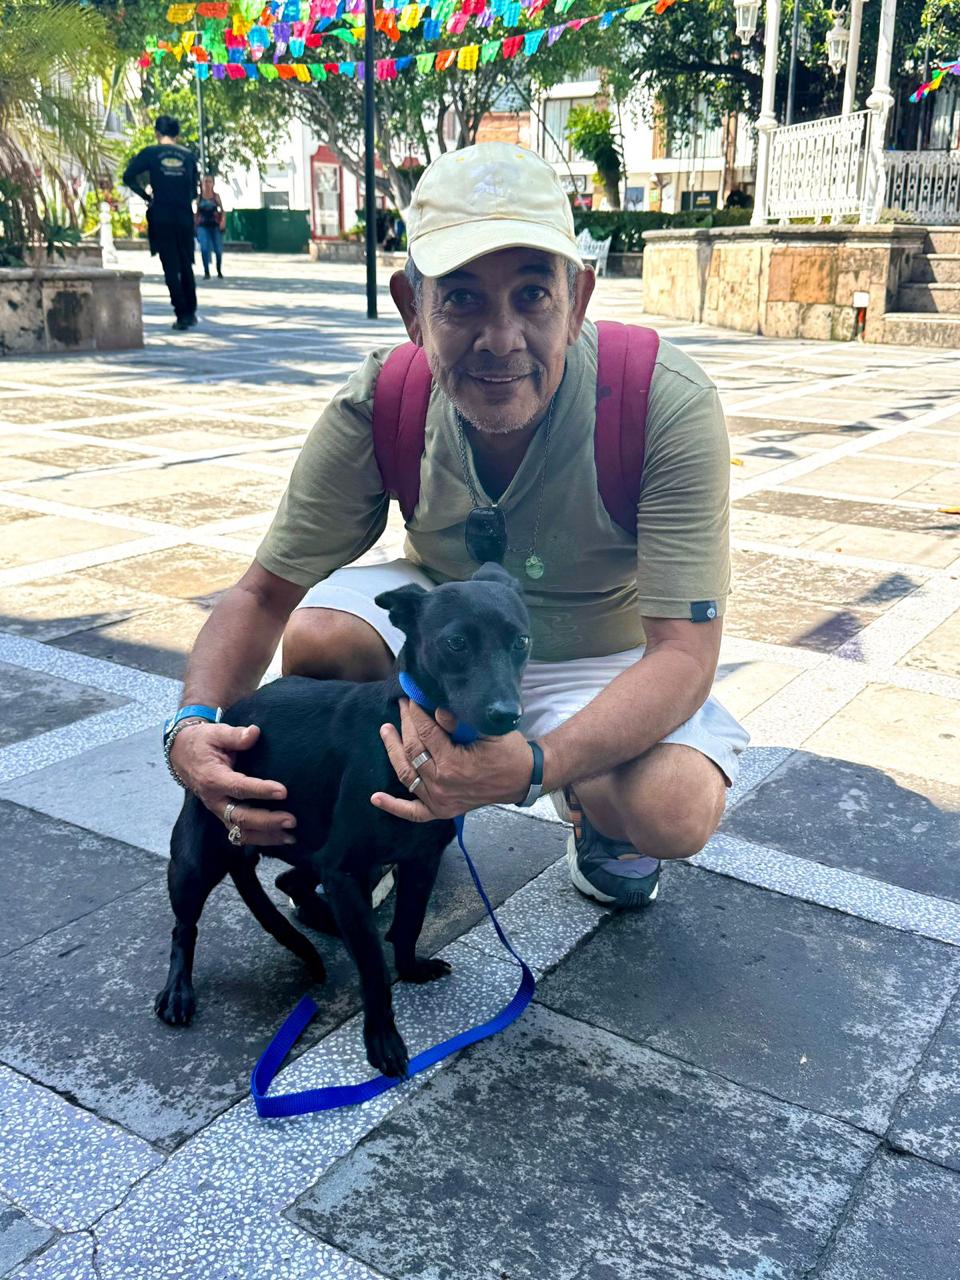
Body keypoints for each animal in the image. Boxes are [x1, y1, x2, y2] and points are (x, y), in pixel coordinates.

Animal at [155, 562, 532, 1078]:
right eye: (456, 643)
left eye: (522, 641)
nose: (507, 716)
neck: (414, 728)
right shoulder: (345, 868)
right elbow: (372, 966)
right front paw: (382, 1038)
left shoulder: (417, 862)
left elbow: (409, 924)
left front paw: (411, 969)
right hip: (197, 860)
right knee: (184, 927)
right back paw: (178, 991)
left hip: (323, 852)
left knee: (292, 882)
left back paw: (328, 920)